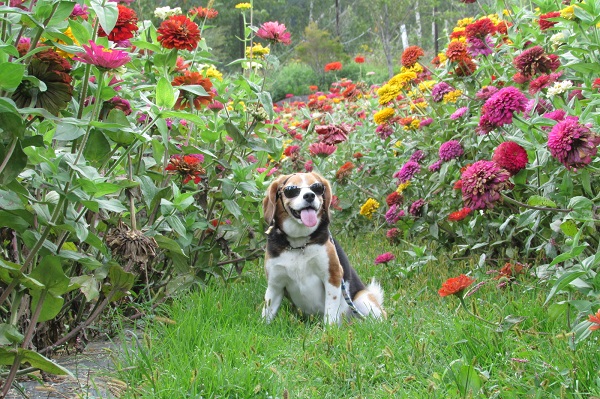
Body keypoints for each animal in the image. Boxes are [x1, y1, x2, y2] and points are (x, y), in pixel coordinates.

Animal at [262, 172, 384, 324]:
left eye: (317, 187)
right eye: (291, 189)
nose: (309, 195)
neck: (299, 243)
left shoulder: (333, 277)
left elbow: (330, 314)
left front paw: (329, 329)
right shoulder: (275, 285)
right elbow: (267, 313)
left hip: (363, 299)